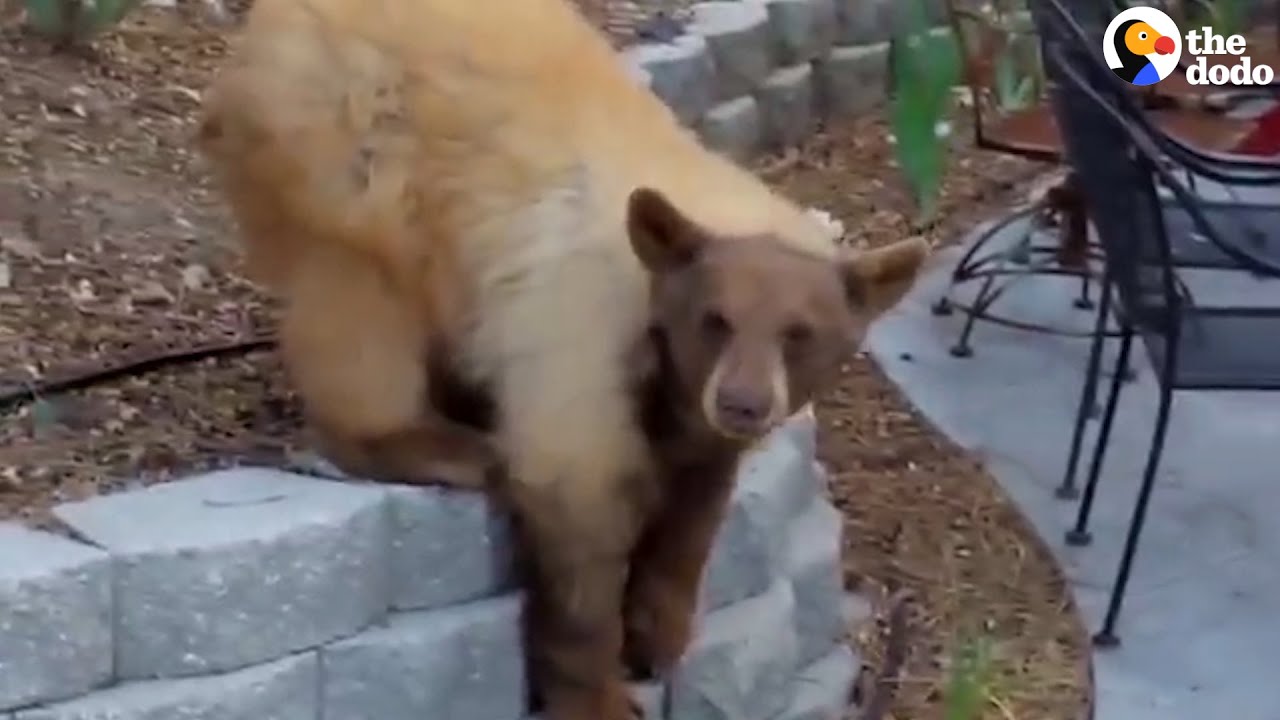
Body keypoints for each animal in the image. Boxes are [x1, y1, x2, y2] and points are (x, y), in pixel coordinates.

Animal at [194, 0, 926, 712]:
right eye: (715, 320)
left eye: (800, 333)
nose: (743, 402)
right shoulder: (583, 322)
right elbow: (578, 498)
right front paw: (598, 692)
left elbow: (697, 499)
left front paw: (659, 633)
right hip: (348, 161)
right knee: (359, 313)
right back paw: (442, 441)